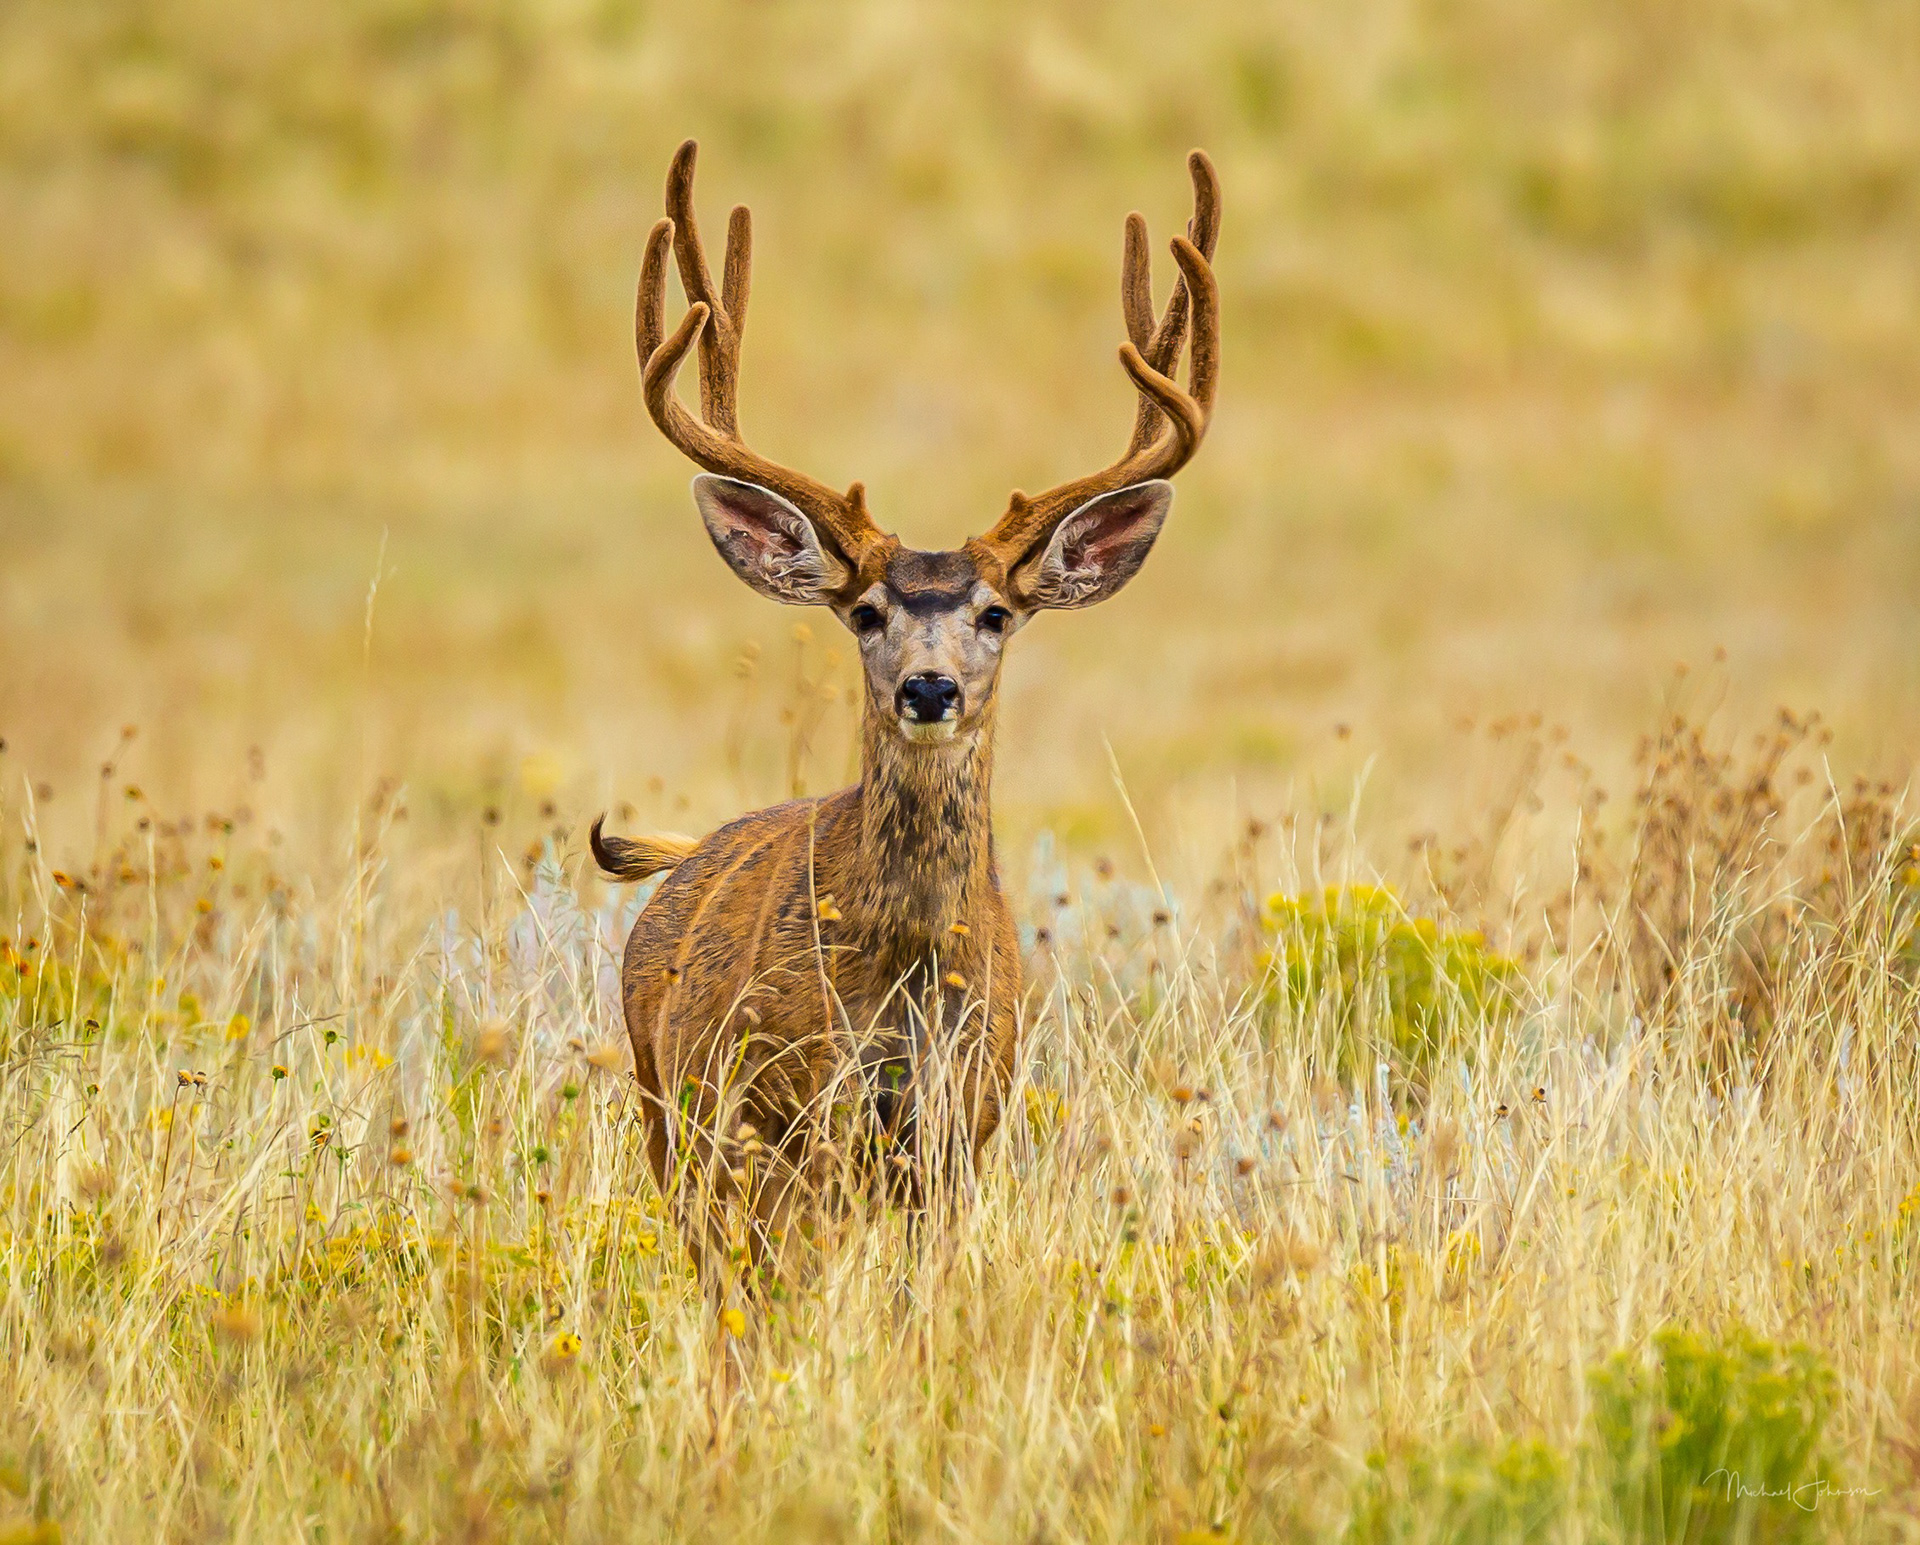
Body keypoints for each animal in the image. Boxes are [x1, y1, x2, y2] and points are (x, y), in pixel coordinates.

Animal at [593, 139, 1219, 1287]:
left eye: (997, 614)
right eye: (866, 611)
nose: (930, 688)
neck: (905, 973)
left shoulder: (964, 1119)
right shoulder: (786, 1112)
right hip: (673, 1107)